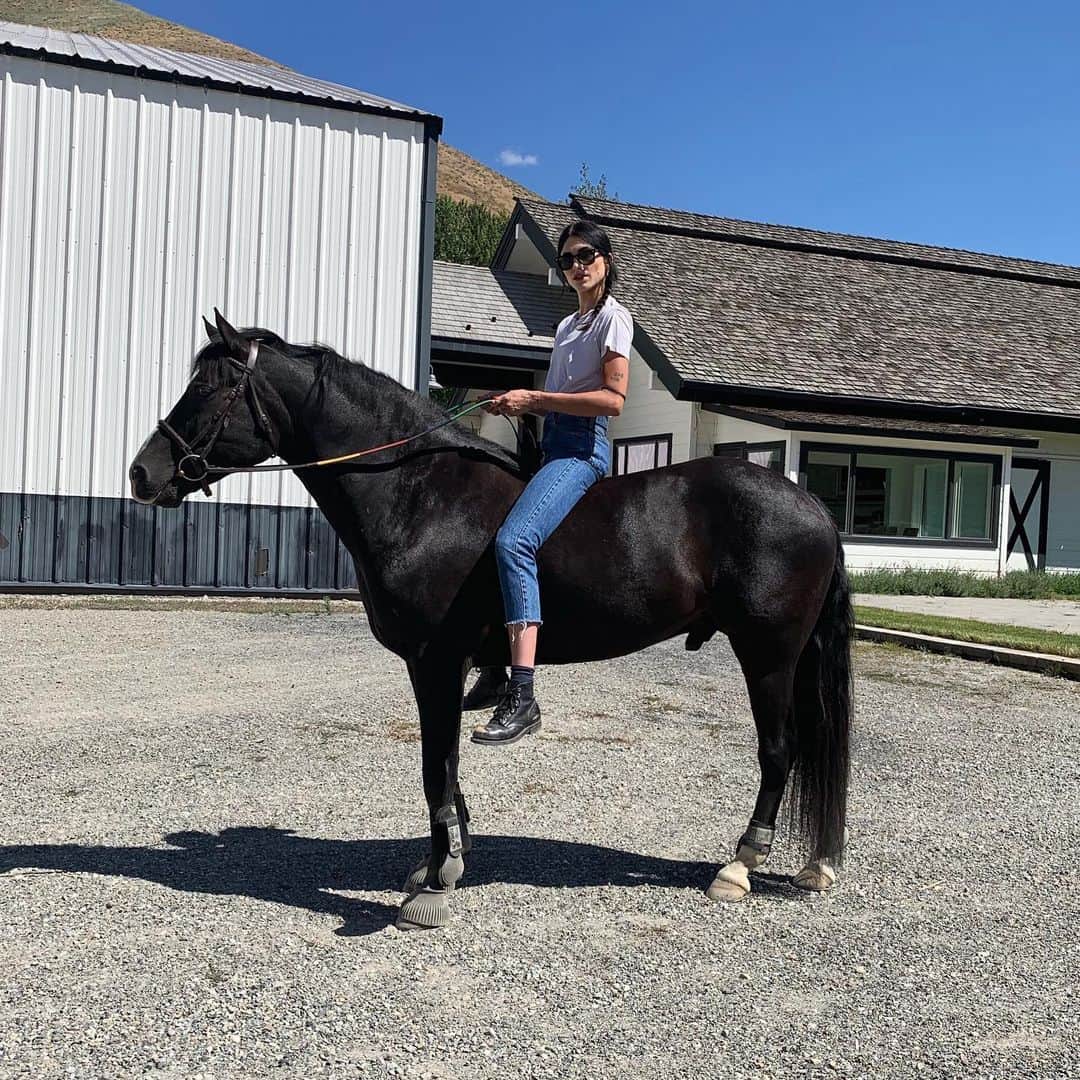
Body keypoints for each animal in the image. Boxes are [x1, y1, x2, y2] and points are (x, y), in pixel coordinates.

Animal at [128, 310, 853, 931]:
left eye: (208, 388)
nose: (142, 473)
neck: (422, 495)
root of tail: (812, 505)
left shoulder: (436, 662)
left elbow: (435, 764)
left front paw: (435, 881)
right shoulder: (440, 669)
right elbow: (444, 767)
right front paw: (444, 859)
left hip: (768, 656)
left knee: (779, 750)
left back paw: (740, 865)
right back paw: (816, 864)